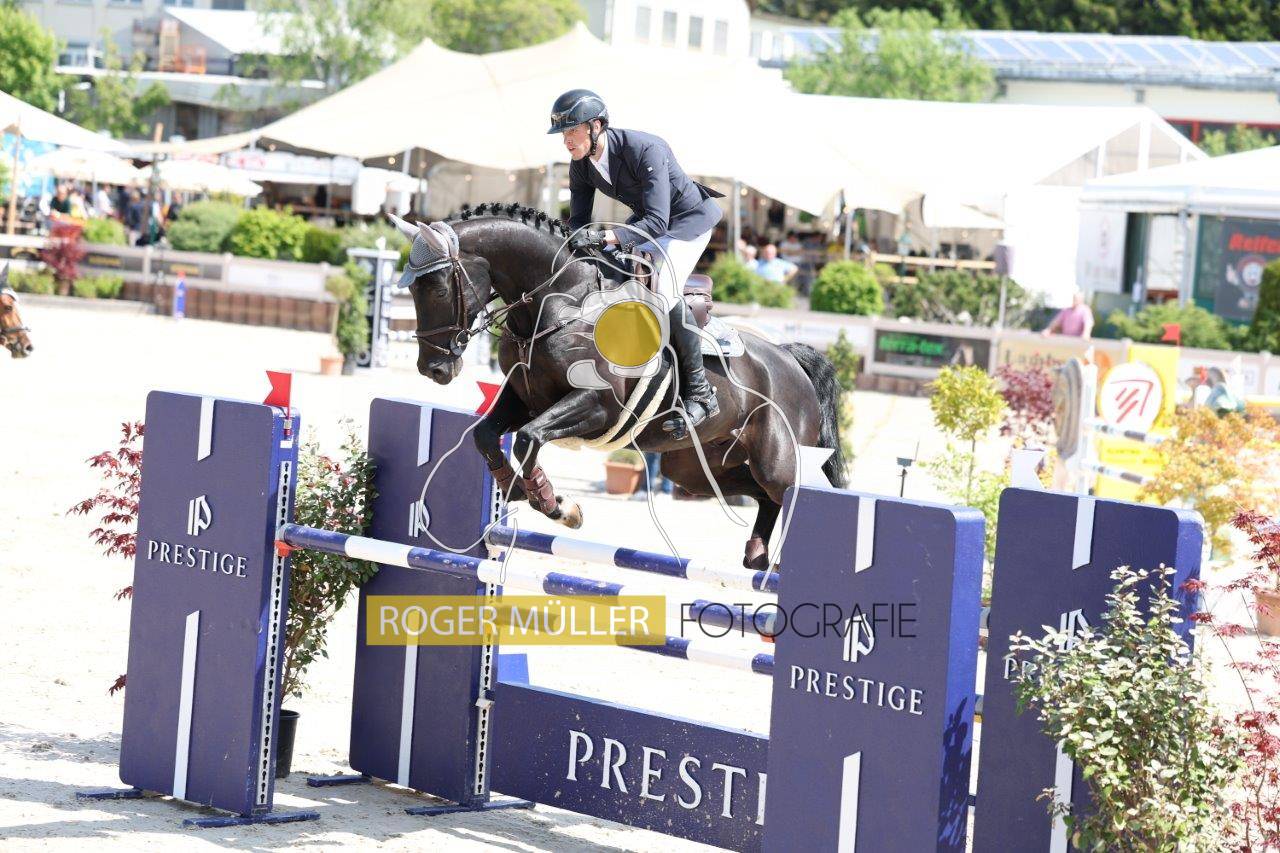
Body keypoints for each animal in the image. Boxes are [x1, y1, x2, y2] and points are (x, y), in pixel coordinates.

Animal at [392, 203, 847, 571]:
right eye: (411, 287)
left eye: (436, 288)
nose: (434, 368)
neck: (561, 303)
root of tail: (789, 359)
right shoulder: (523, 397)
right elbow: (487, 434)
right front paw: (517, 488)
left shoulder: (595, 407)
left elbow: (527, 437)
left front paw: (556, 505)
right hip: (695, 468)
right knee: (760, 495)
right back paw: (756, 555)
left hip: (774, 460)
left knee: (785, 491)